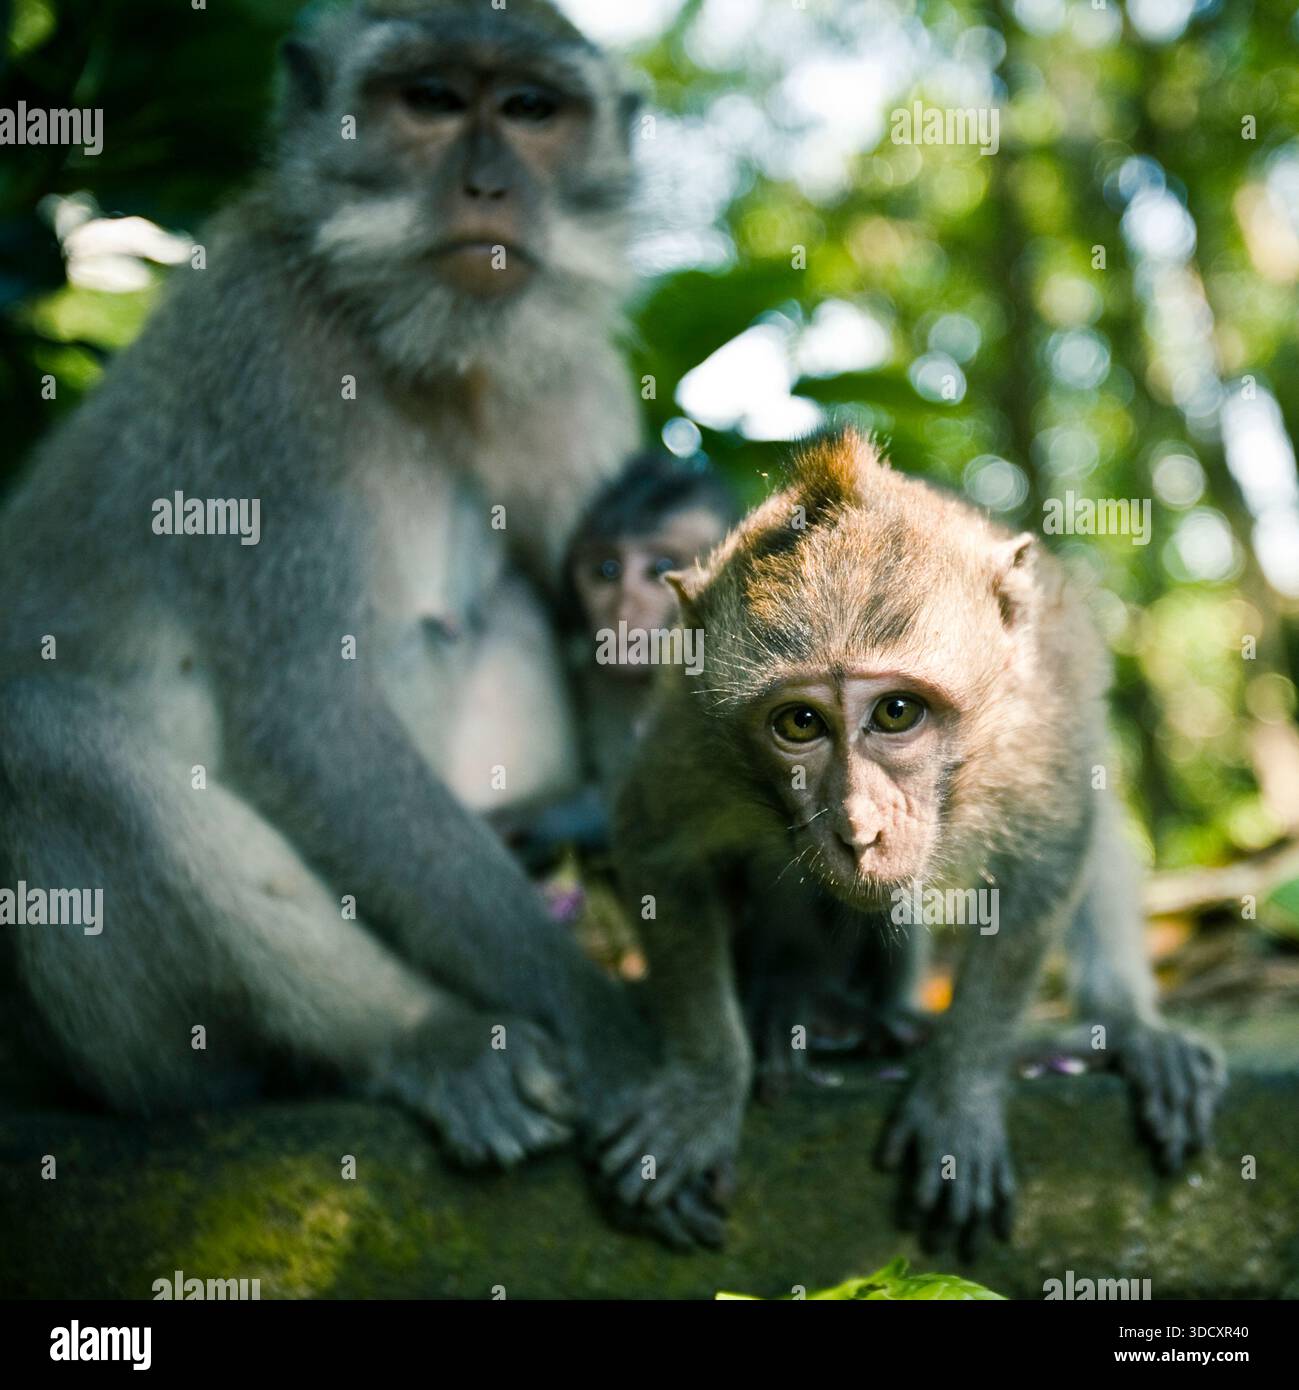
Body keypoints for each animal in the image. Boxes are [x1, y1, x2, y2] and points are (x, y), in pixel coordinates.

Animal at [0, 0, 654, 1171]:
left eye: (531, 110)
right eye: (430, 99)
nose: (486, 186)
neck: (421, 351)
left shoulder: (571, 378)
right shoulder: (265, 369)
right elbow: (311, 720)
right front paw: (608, 1029)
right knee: (44, 738)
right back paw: (424, 1038)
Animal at [596, 429, 1225, 1251]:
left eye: (897, 712)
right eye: (799, 723)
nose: (859, 825)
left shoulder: (1041, 720)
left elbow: (1052, 858)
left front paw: (961, 1091)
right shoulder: (693, 735)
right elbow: (657, 849)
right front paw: (703, 1087)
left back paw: (1125, 1028)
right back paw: (802, 1006)